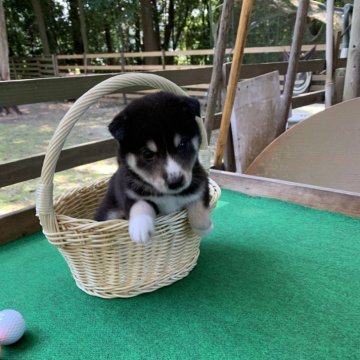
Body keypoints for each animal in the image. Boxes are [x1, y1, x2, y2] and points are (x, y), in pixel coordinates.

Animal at [95, 91, 214, 243]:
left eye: (182, 144)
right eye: (147, 154)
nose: (175, 182)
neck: (170, 195)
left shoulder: (201, 182)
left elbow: (198, 202)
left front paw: (204, 227)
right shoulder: (132, 194)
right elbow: (140, 205)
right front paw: (140, 228)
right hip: (109, 209)